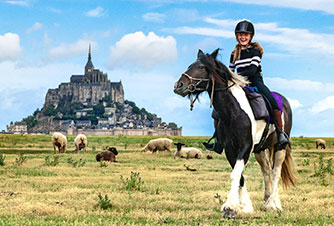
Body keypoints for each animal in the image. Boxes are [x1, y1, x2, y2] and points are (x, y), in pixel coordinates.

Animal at [174, 48, 296, 218]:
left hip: (280, 147)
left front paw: (231, 206)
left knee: (275, 172)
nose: (178, 86)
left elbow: (236, 174)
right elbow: (240, 176)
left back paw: (273, 204)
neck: (233, 111)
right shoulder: (230, 149)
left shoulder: (245, 147)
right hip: (260, 149)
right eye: (190, 66)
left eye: (202, 67)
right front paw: (245, 206)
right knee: (266, 171)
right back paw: (268, 200)